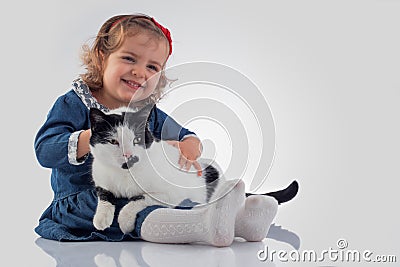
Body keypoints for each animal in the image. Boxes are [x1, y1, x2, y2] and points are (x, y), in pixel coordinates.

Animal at [90, 105, 296, 234]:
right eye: (113, 141)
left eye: (136, 140)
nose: (129, 155)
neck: (124, 175)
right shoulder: (101, 178)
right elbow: (104, 195)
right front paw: (101, 218)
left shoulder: (168, 194)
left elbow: (137, 199)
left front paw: (124, 221)